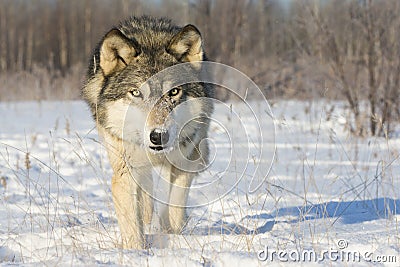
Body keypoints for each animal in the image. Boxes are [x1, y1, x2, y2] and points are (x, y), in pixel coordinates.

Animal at [81, 16, 212, 251]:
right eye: (135, 93)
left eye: (174, 92)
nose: (158, 136)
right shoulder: (126, 170)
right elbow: (132, 223)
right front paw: (136, 251)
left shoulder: (185, 162)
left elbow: (174, 208)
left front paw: (171, 234)